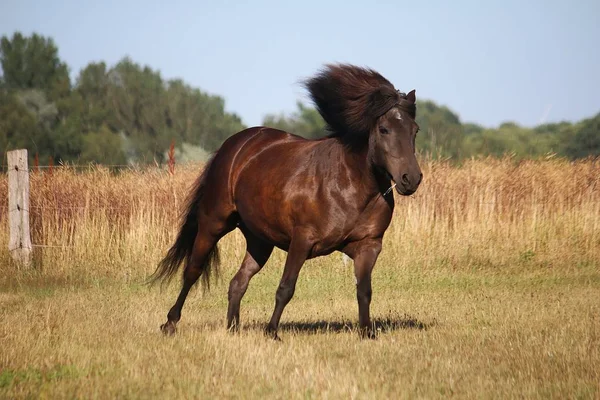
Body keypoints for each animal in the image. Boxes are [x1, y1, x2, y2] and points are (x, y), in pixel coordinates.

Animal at [150, 64, 422, 340]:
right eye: (384, 129)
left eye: (415, 130)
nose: (411, 179)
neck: (349, 186)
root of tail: (235, 144)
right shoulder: (302, 240)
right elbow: (286, 288)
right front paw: (272, 332)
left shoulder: (369, 246)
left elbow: (364, 291)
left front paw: (367, 333)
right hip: (213, 223)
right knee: (192, 271)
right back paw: (170, 323)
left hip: (259, 240)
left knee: (238, 282)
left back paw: (233, 329)